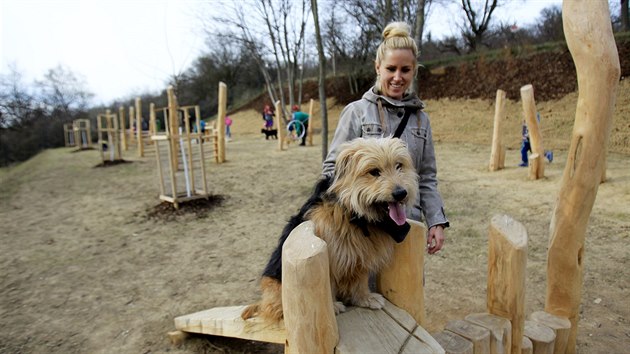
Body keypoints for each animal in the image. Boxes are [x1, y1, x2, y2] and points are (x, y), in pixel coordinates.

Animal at [242, 137, 420, 322]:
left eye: (399, 166)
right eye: (374, 172)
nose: (401, 193)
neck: (354, 214)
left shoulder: (361, 253)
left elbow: (361, 279)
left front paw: (365, 298)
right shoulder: (332, 254)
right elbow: (329, 282)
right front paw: (332, 305)